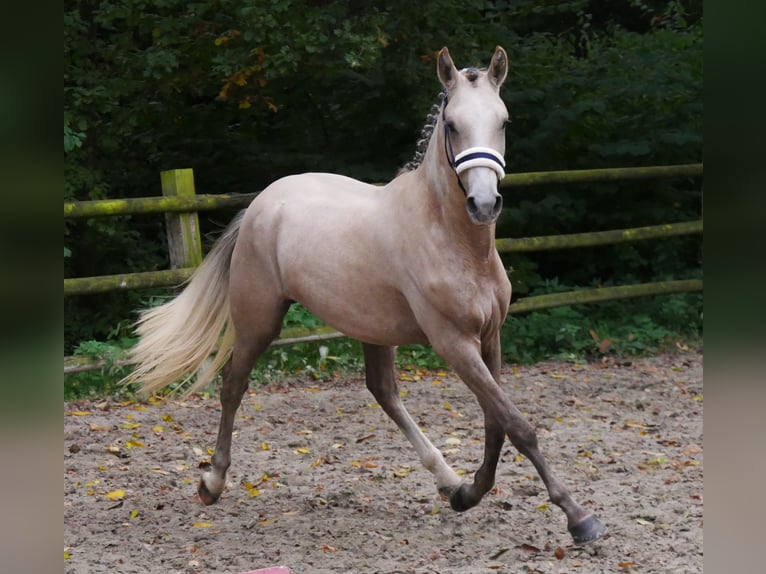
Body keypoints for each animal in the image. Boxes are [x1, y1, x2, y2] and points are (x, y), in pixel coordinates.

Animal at [123, 47, 608, 548]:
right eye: (452, 124)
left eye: (504, 121)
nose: (484, 204)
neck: (454, 241)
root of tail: (260, 202)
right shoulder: (454, 344)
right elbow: (517, 426)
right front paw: (579, 518)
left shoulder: (490, 337)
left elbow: (497, 423)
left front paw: (467, 494)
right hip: (259, 321)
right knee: (233, 387)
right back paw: (212, 483)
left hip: (371, 329)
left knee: (383, 392)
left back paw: (447, 480)